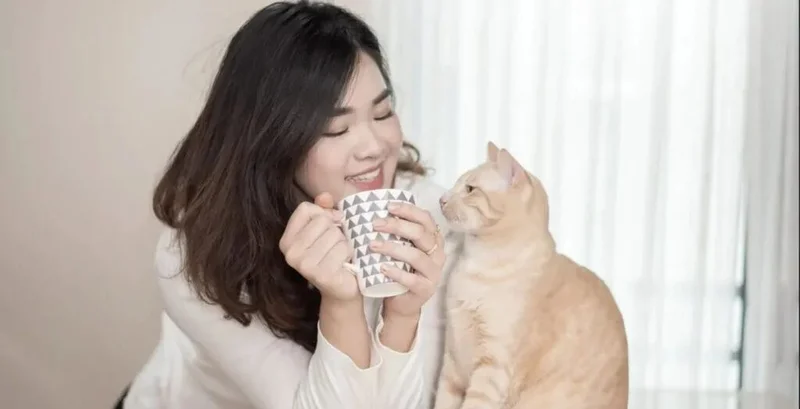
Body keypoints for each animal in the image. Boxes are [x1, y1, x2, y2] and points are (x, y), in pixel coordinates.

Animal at [432, 142, 629, 409]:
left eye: (470, 189)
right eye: (455, 185)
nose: (441, 200)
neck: (476, 264)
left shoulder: (493, 369)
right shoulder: (452, 365)